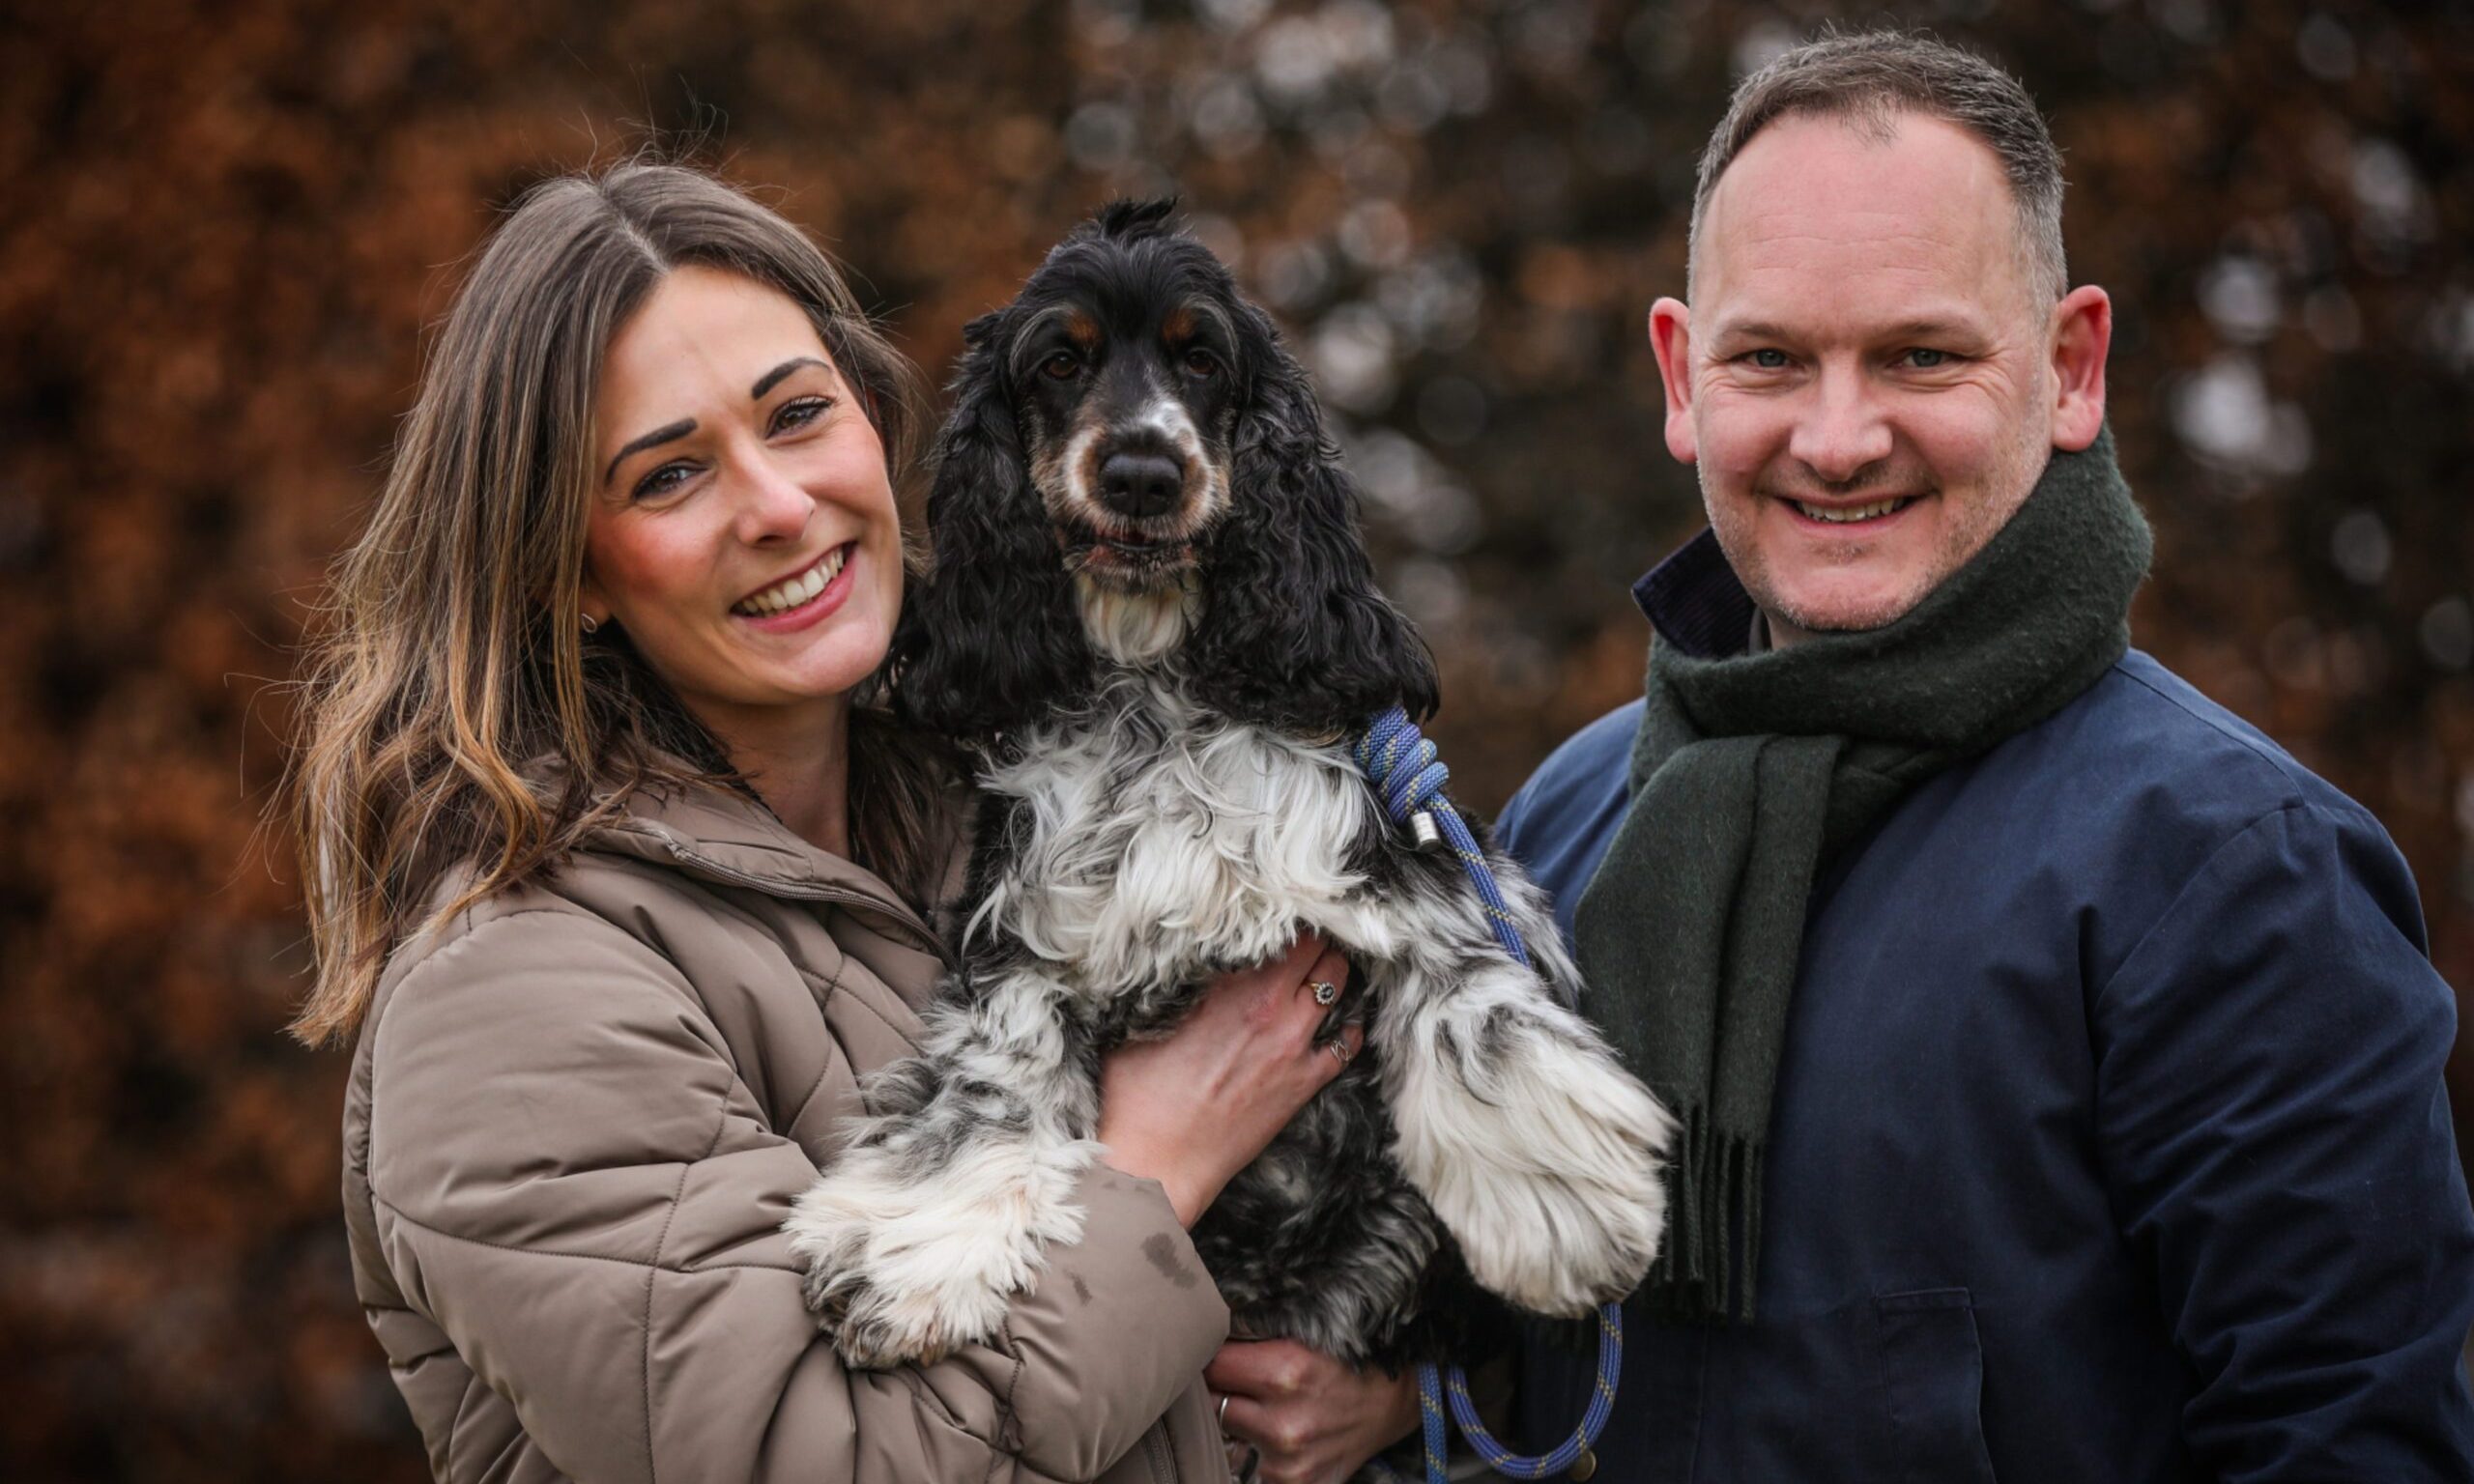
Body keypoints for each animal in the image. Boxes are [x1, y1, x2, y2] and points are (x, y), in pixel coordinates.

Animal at [787, 202, 1682, 1375]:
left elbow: (1469, 990)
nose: (1142, 471)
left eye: (1201, 358)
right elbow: (997, 1074)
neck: (1156, 694)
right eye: (1060, 361)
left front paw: (1564, 1217)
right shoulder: (1025, 933)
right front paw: (910, 1259)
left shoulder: (1393, 848)